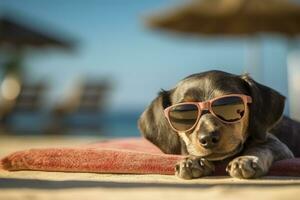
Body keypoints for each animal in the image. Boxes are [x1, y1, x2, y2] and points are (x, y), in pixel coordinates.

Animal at [138, 70, 300, 180]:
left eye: (229, 104)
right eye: (183, 112)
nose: (208, 138)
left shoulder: (279, 146)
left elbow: (260, 147)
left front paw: (246, 160)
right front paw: (192, 160)